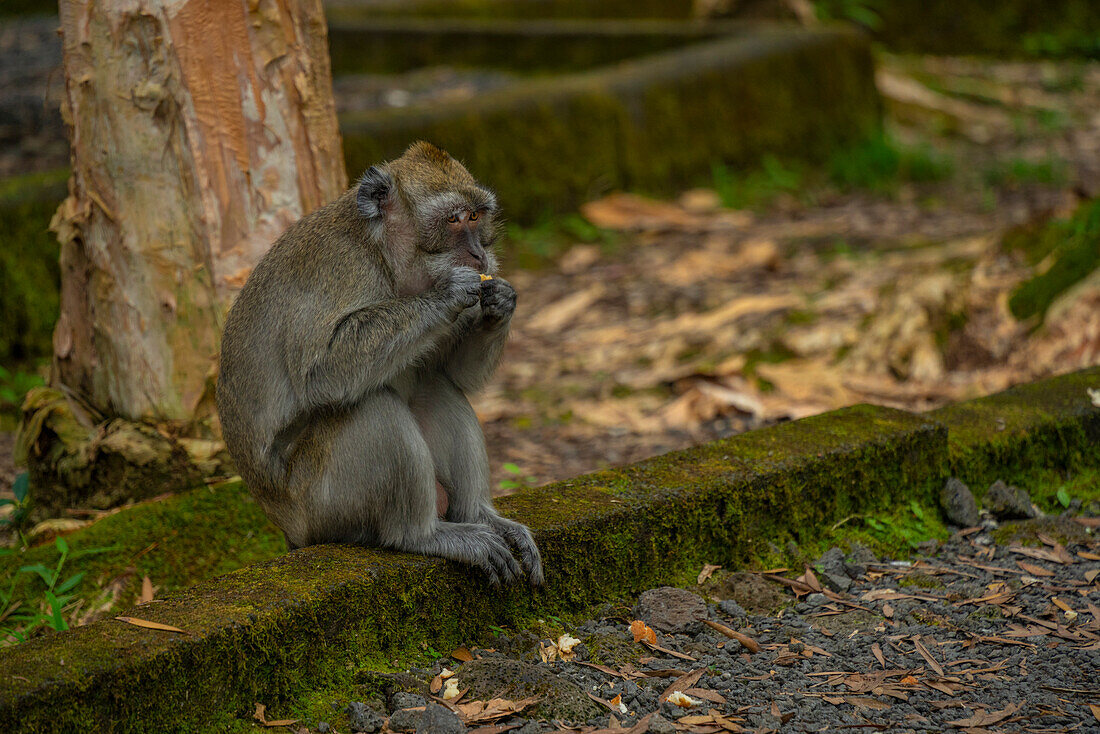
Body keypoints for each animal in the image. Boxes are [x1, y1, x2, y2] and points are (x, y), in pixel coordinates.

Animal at [216, 140, 543, 585]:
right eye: (454, 219)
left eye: (476, 217)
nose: (479, 255)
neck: (383, 256)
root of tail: (290, 532)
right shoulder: (339, 267)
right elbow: (321, 373)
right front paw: (448, 293)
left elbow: (452, 374)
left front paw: (502, 301)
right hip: (322, 505)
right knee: (373, 406)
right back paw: (420, 535)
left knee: (433, 387)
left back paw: (478, 515)